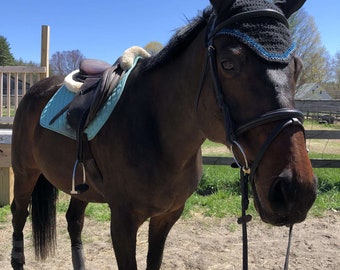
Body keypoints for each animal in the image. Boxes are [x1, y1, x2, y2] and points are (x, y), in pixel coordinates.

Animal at [11, 0, 318, 268]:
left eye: (298, 67)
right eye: (229, 64)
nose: (296, 190)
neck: (157, 132)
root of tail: (35, 89)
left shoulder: (166, 217)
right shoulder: (123, 222)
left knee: (74, 221)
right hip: (25, 172)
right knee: (19, 213)